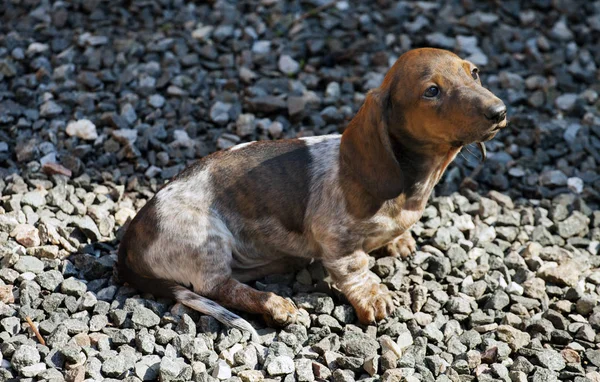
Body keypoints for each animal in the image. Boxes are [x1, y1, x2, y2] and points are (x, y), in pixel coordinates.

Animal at [117, 47, 506, 338]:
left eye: (474, 72)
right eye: (431, 91)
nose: (499, 111)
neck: (415, 184)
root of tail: (132, 238)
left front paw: (400, 240)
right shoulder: (338, 242)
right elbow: (356, 268)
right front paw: (373, 297)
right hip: (206, 241)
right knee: (217, 288)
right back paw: (275, 304)